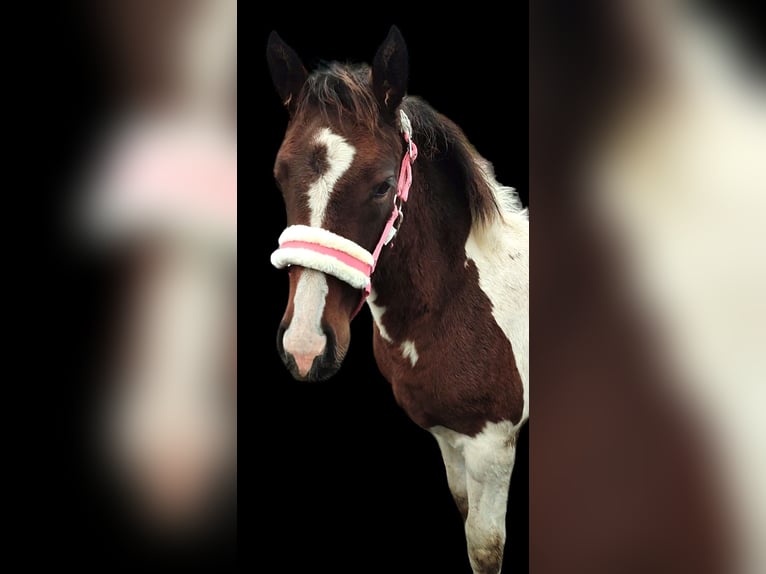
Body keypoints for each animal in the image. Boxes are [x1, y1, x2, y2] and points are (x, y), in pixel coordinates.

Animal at [268, 27, 528, 574]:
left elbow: (485, 545)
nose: (304, 347)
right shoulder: (449, 437)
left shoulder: (494, 446)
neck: (457, 305)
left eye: (384, 185)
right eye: (279, 175)